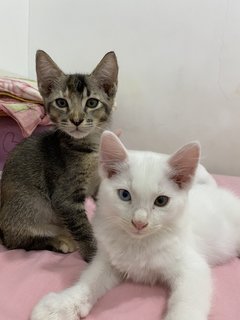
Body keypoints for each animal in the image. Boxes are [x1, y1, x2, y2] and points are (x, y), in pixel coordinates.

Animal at [0, 48, 118, 262]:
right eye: (61, 102)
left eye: (92, 102)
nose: (76, 120)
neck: (90, 148)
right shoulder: (65, 198)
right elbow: (83, 229)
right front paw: (94, 256)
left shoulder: (99, 186)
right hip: (29, 206)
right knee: (17, 242)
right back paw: (59, 241)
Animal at [31, 131, 240, 318]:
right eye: (124, 195)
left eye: (161, 201)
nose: (139, 222)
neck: (138, 243)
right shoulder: (109, 259)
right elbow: (90, 280)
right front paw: (61, 305)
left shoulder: (193, 269)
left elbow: (187, 305)